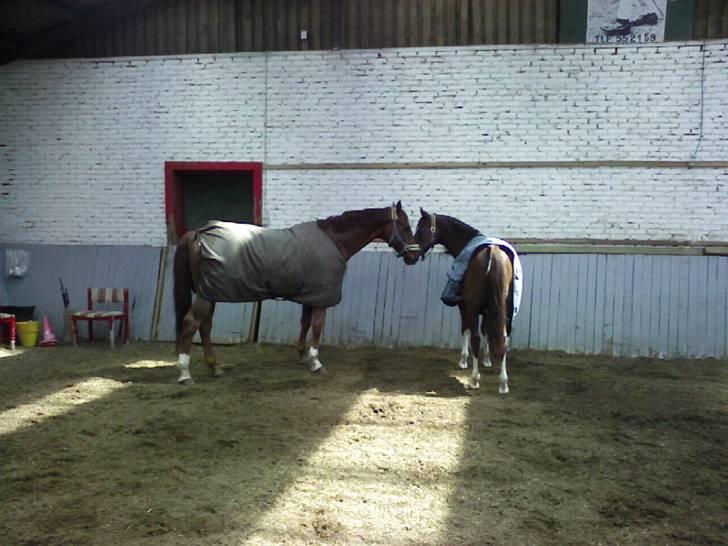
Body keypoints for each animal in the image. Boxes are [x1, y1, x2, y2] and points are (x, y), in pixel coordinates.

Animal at [173, 201, 418, 382]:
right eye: (406, 227)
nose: (415, 255)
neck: (334, 240)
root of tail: (196, 234)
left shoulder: (311, 294)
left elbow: (305, 323)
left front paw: (302, 356)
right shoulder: (321, 299)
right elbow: (317, 327)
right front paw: (316, 363)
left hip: (211, 292)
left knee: (205, 326)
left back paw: (214, 368)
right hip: (206, 296)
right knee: (190, 324)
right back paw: (185, 374)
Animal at [416, 208, 516, 392]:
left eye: (420, 229)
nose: (409, 252)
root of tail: (492, 252)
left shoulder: (465, 307)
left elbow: (466, 330)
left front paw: (463, 360)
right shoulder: (487, 310)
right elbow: (486, 330)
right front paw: (487, 359)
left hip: (473, 306)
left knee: (475, 338)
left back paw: (475, 379)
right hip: (505, 309)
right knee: (504, 338)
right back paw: (503, 383)